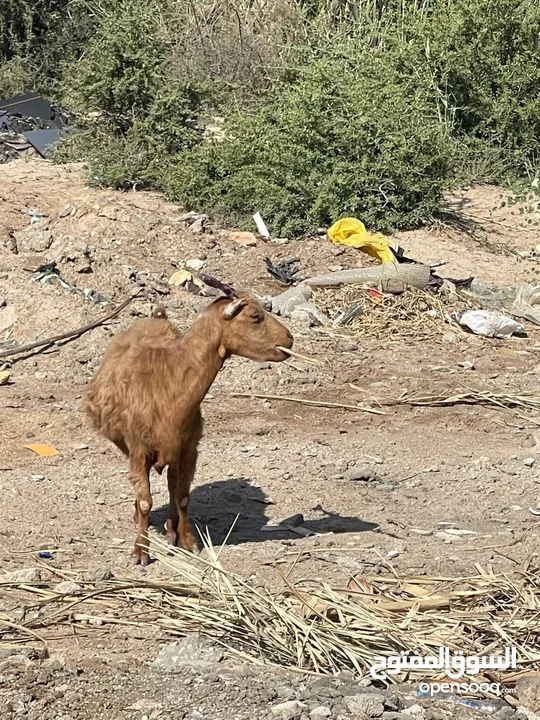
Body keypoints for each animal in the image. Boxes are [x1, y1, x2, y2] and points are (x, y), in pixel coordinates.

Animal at [85, 292, 294, 564]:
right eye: (255, 316)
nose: (290, 338)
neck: (168, 382)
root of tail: (156, 318)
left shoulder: (189, 449)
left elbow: (183, 496)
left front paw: (188, 541)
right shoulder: (139, 450)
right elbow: (145, 501)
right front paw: (141, 551)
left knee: (172, 484)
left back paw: (171, 528)